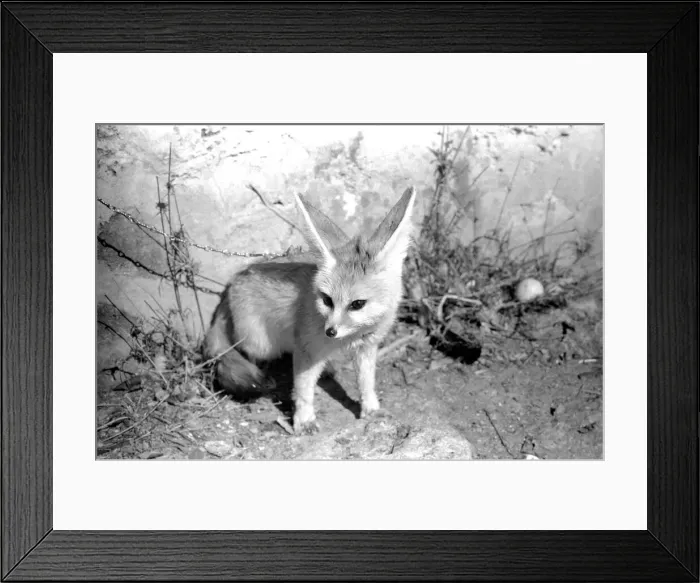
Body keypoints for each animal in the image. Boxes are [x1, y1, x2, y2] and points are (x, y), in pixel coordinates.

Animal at [203, 186, 417, 435]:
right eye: (327, 300)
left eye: (357, 304)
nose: (330, 332)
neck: (350, 338)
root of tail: (231, 283)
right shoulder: (308, 349)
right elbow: (303, 389)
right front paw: (304, 419)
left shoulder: (366, 347)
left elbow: (366, 382)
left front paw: (371, 409)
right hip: (261, 345)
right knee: (248, 353)